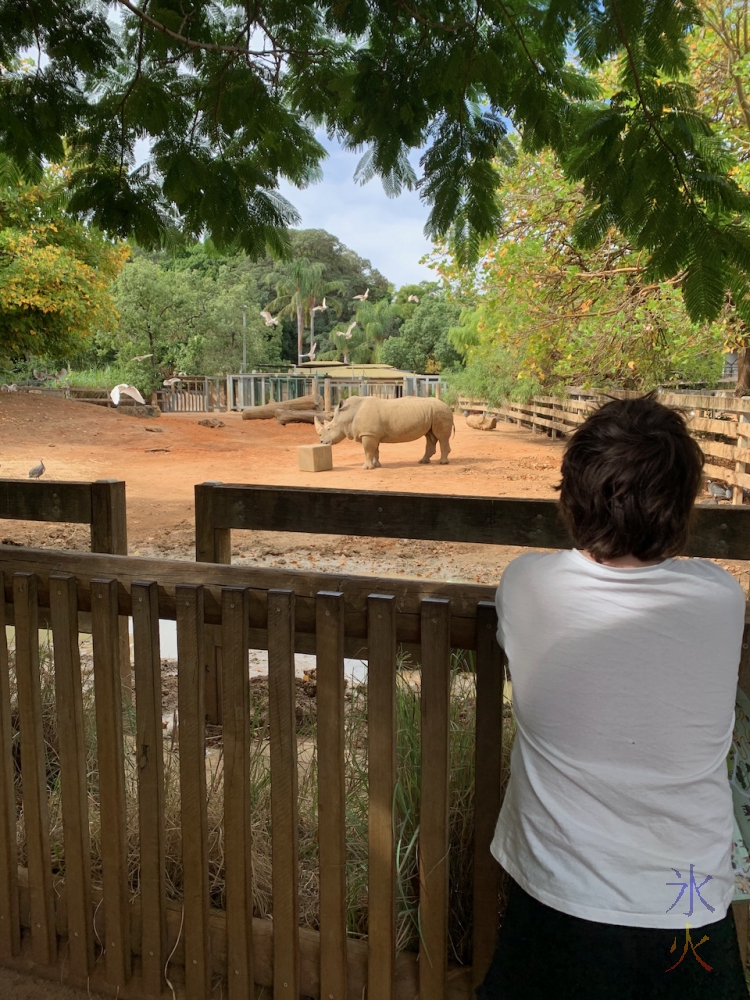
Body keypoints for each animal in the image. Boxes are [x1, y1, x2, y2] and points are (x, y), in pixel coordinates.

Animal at [314, 394, 456, 468]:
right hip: (433, 413)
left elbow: (368, 451)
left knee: (441, 437)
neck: (348, 414)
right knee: (430, 436)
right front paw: (376, 465)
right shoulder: (373, 434)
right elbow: (375, 451)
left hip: (440, 412)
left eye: (329, 428)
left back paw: (442, 463)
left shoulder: (368, 434)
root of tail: (447, 405)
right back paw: (423, 461)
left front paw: (366, 468)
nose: (321, 441)